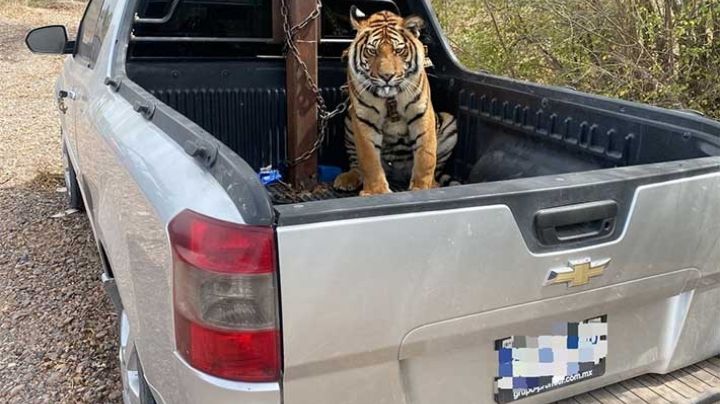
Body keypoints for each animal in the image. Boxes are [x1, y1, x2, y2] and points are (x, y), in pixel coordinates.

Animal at [334, 6, 458, 196]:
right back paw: (347, 179)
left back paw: (434, 184)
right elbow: (369, 159)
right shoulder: (364, 118)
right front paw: (377, 192)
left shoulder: (422, 113)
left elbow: (426, 156)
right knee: (356, 165)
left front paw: (422, 188)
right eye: (372, 51)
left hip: (449, 121)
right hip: (349, 118)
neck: (389, 97)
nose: (387, 76)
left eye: (398, 51)